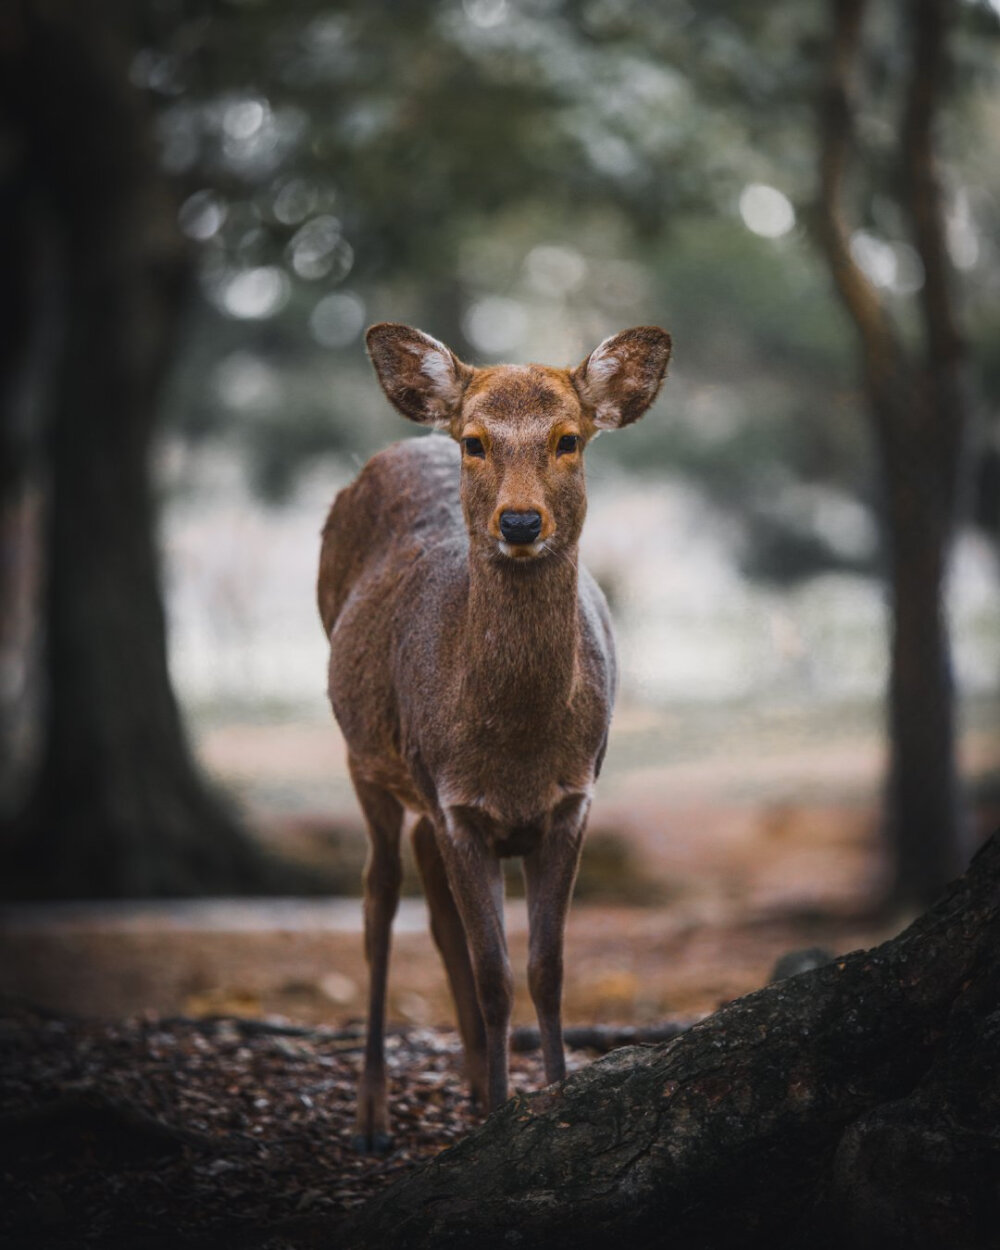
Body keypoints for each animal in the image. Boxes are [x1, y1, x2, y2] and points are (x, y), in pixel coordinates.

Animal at [318, 322, 670, 1150]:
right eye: (475, 442)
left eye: (569, 438)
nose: (518, 522)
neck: (515, 753)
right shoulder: (459, 806)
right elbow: (494, 973)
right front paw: (511, 1115)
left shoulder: (573, 799)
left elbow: (546, 968)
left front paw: (555, 1098)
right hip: (366, 758)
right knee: (379, 900)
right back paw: (374, 1114)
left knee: (431, 900)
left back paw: (477, 1083)